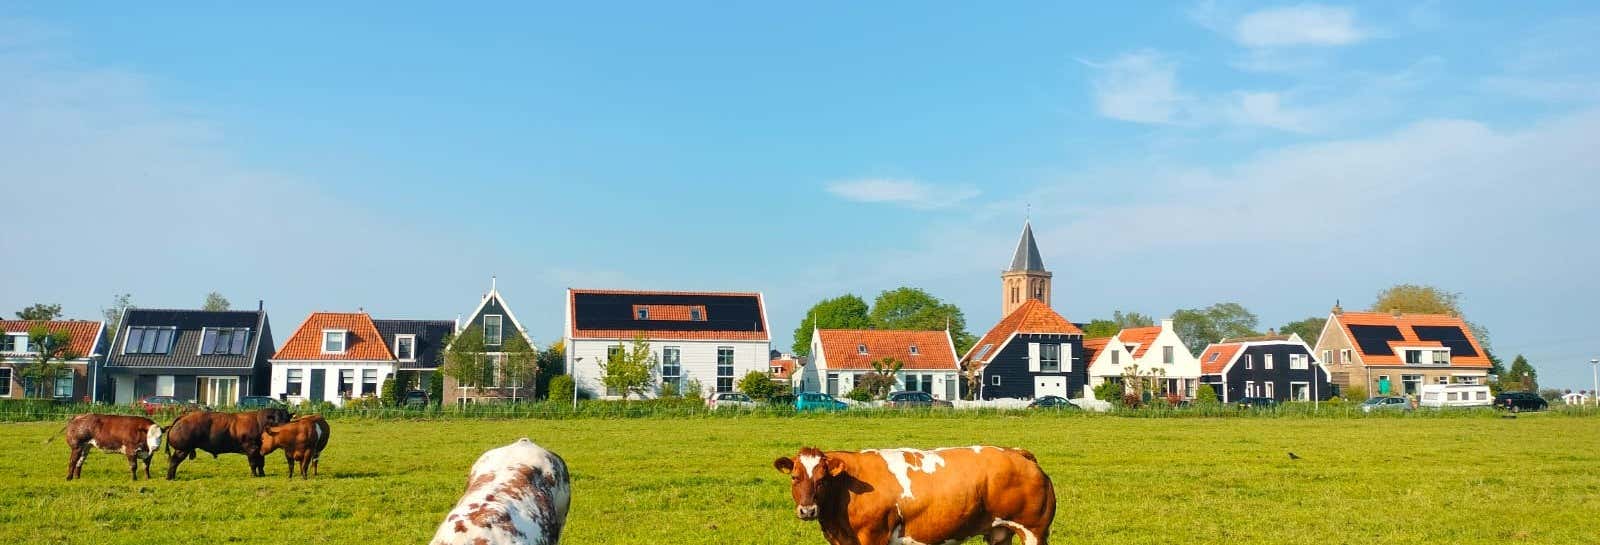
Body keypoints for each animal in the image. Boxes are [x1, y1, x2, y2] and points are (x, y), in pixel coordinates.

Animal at [163, 405, 291, 476]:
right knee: (173, 462)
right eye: (277, 420)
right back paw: (170, 477)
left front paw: (262, 475)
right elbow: (253, 464)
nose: (285, 428)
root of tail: (184, 416)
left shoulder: (259, 450)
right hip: (182, 449)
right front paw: (254, 475)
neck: (260, 424)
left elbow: (261, 464)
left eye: (287, 419)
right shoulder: (251, 448)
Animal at [771, 444, 1049, 543]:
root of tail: (1017, 453)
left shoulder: (874, 537)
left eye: (822, 480)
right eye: (795, 477)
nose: (808, 510)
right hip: (999, 533)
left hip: (1033, 531)